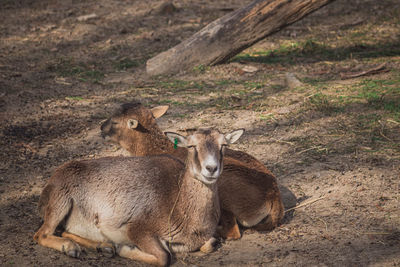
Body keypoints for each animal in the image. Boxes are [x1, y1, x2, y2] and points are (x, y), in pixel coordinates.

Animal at [33, 129, 244, 266]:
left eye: (223, 145)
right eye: (192, 146)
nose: (211, 168)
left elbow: (211, 243)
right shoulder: (139, 228)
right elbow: (164, 257)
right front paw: (124, 249)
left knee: (63, 231)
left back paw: (103, 247)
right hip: (60, 201)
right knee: (41, 234)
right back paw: (72, 248)